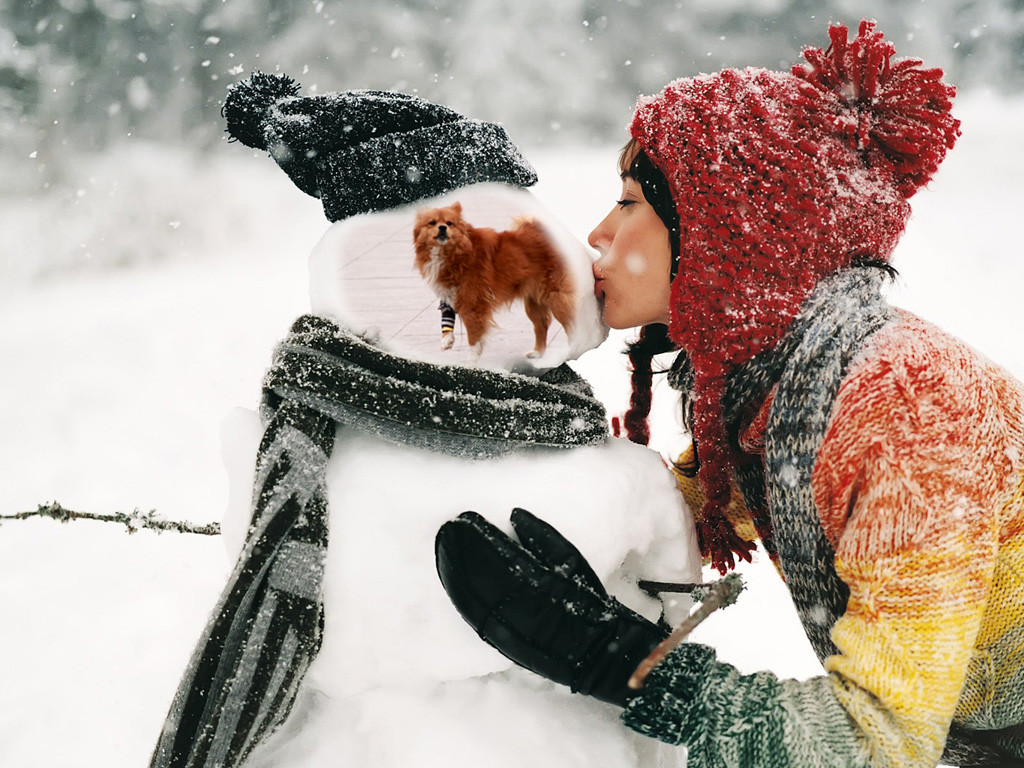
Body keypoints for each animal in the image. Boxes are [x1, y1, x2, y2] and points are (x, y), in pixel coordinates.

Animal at [415, 204, 577, 360]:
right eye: (432, 223)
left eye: (450, 223)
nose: (443, 227)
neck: (456, 253)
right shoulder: (450, 295)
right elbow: (447, 316)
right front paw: (447, 339)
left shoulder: (473, 305)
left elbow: (473, 337)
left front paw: (470, 361)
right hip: (533, 303)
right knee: (541, 325)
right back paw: (538, 352)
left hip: (555, 297)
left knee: (571, 325)